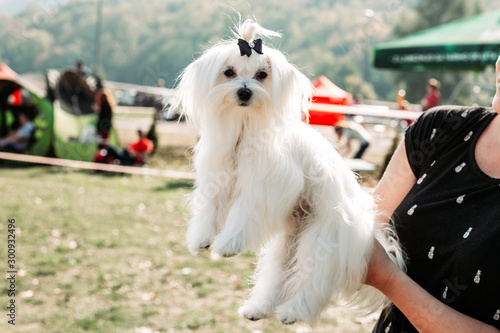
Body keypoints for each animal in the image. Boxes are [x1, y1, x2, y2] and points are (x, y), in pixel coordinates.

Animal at [171, 19, 402, 326]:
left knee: (310, 282)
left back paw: (293, 312)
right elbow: (211, 208)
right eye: (229, 72)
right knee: (279, 276)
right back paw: (258, 309)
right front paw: (202, 238)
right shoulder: (218, 176)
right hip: (287, 245)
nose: (244, 91)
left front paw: (228, 243)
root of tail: (367, 230)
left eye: (262, 74)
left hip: (321, 240)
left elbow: (243, 212)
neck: (245, 128)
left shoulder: (264, 186)